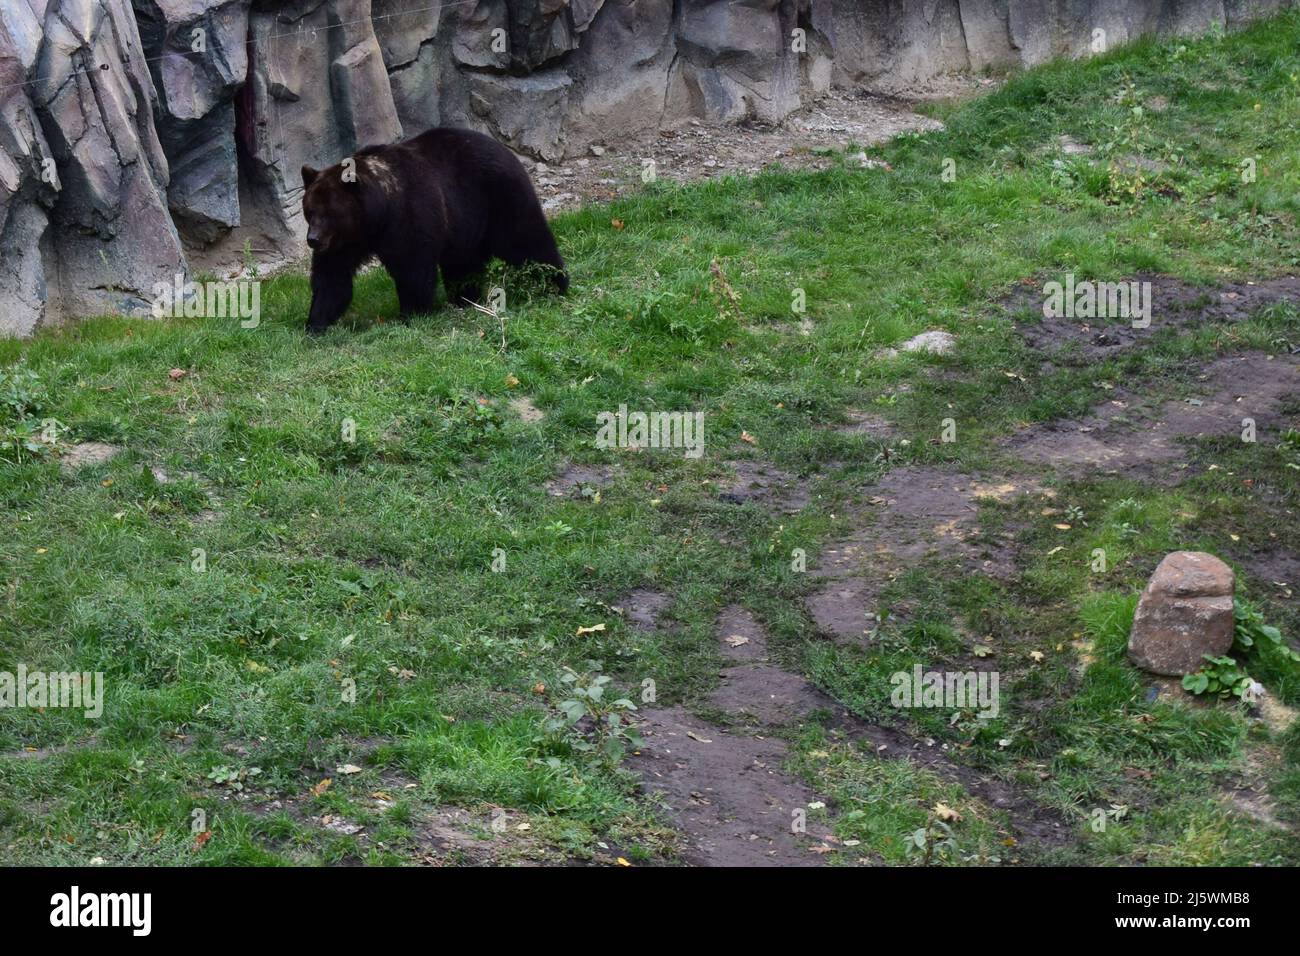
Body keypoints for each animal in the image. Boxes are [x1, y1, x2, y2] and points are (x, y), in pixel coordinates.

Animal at [304, 126, 569, 335]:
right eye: (310, 210)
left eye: (328, 213)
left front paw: (411, 312)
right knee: (464, 264)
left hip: (498, 197)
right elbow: (332, 276)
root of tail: (505, 150)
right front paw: (316, 321)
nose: (312, 239)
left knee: (526, 240)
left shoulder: (408, 214)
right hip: (466, 223)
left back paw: (555, 283)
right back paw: (465, 298)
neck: (378, 213)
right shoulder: (345, 240)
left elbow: (413, 267)